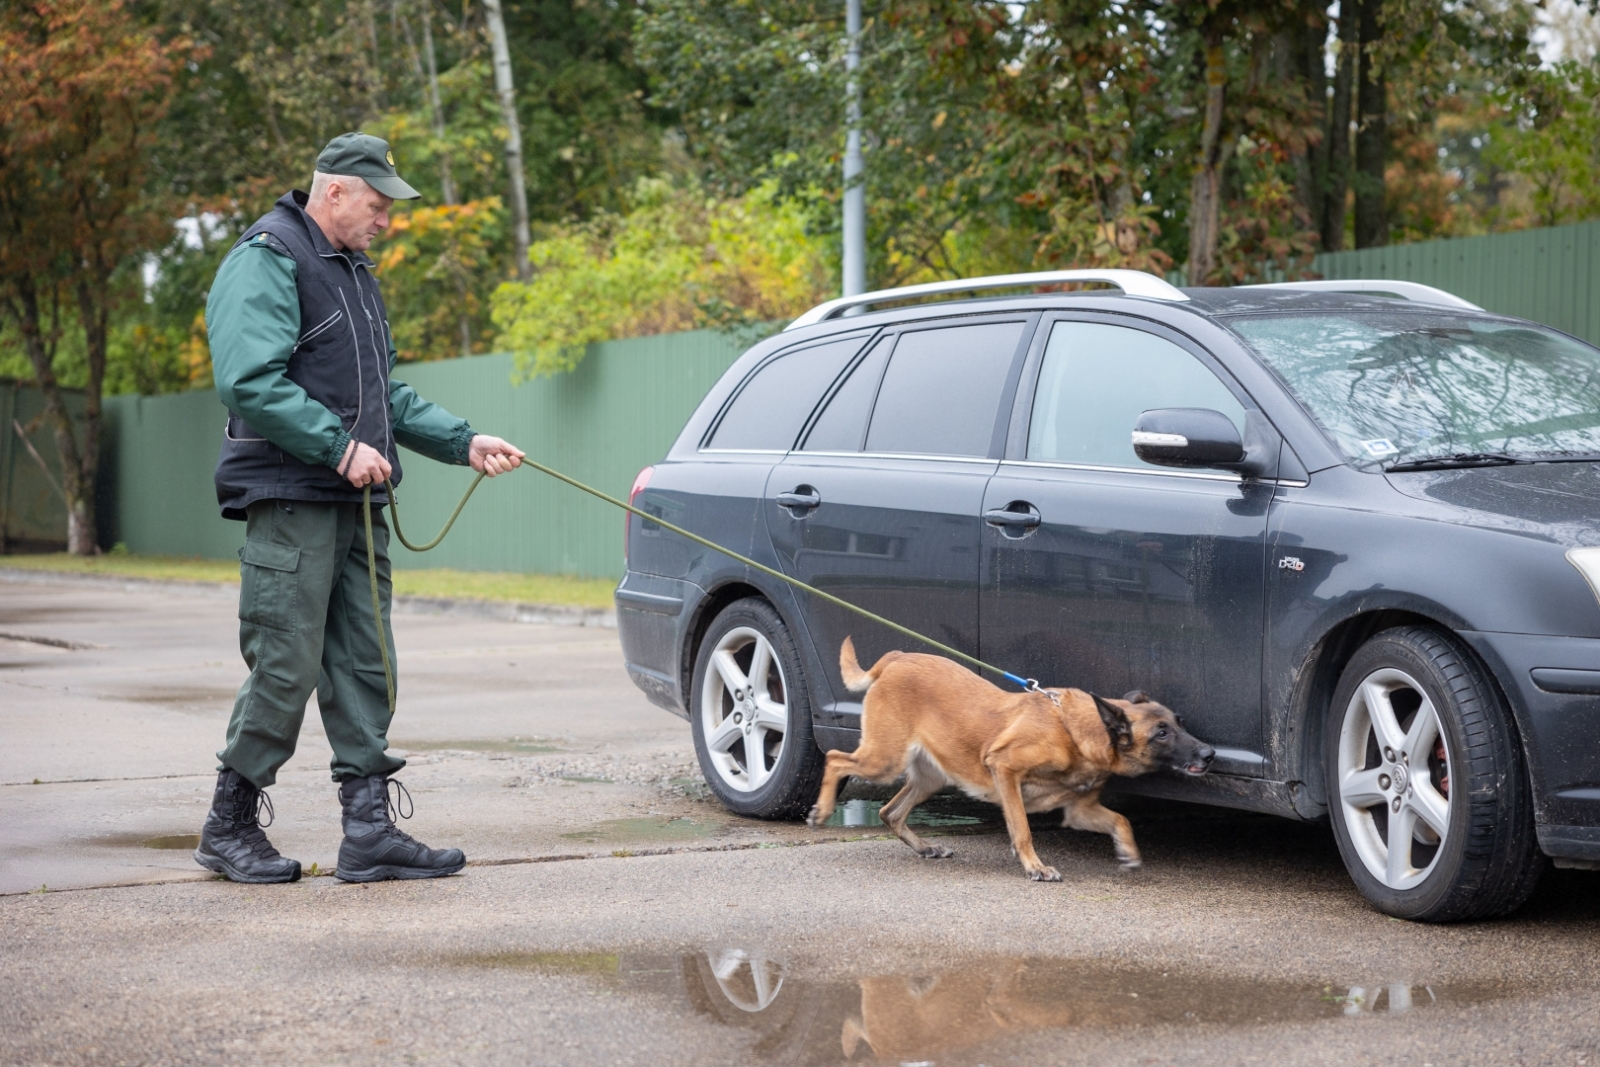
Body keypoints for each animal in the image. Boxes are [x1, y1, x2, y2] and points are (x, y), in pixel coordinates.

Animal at [806, 639, 1216, 883]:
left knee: (889, 811)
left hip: (930, 778)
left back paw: (925, 847)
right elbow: (1022, 829)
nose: (1209, 754)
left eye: (1179, 722)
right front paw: (1035, 866)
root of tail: (897, 658)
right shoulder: (1005, 771)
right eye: (1161, 733)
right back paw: (822, 811)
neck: (1075, 731)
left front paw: (1128, 852)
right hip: (883, 760)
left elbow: (1122, 820)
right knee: (836, 759)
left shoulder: (1080, 811)